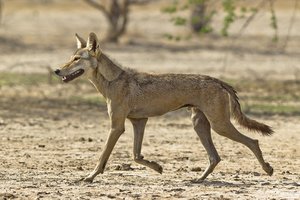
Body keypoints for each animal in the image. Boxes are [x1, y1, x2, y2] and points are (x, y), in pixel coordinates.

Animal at [54, 32, 274, 182]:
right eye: (70, 57)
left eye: (76, 59)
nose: (56, 70)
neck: (113, 81)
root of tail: (218, 80)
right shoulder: (139, 122)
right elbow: (136, 156)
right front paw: (157, 167)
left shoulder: (117, 127)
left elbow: (103, 156)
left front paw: (90, 177)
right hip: (200, 125)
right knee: (215, 157)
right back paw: (199, 179)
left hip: (220, 126)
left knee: (252, 141)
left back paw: (267, 169)